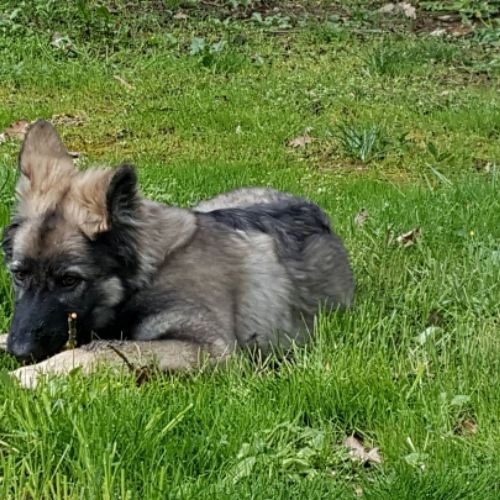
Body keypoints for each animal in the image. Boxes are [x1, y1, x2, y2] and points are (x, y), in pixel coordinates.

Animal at [1, 120, 354, 388]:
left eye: (69, 281)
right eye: (19, 274)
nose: (20, 352)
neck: (151, 272)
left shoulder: (210, 350)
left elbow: (103, 348)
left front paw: (31, 373)